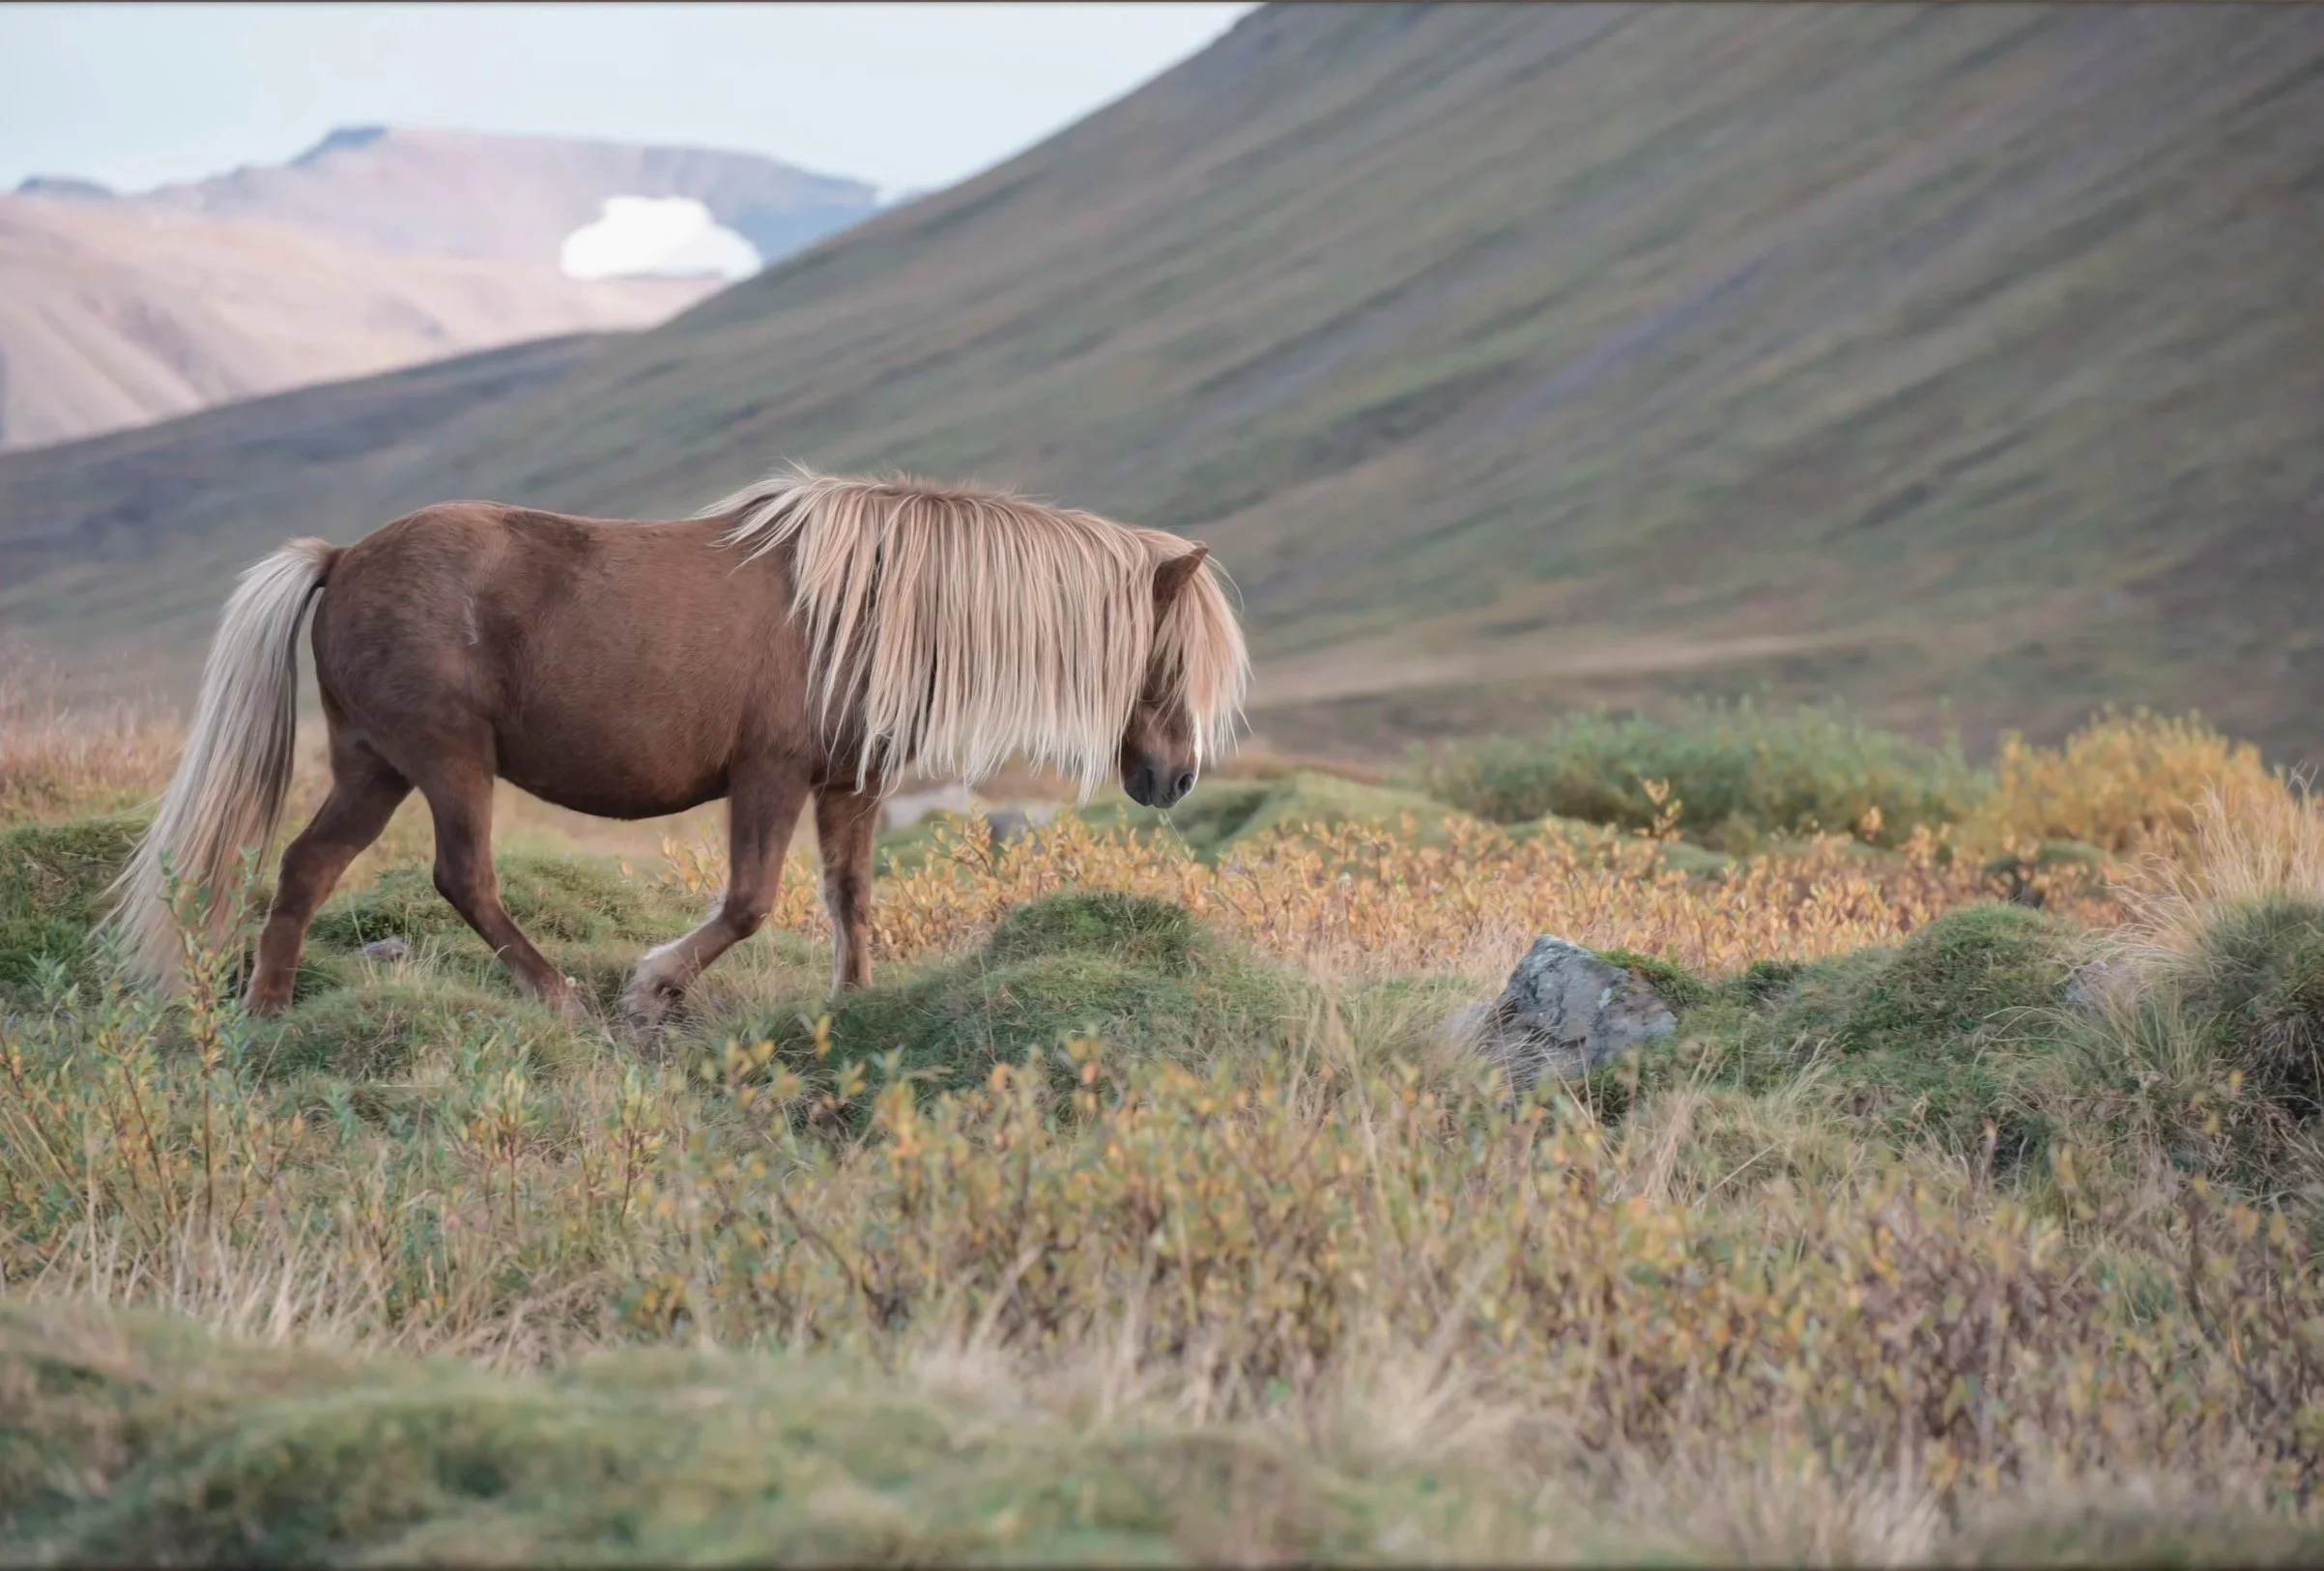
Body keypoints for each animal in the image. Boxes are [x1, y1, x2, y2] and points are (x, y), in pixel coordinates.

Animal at [99, 466, 1250, 1032]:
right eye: (1169, 654)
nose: (1174, 777)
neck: (867, 606)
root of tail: (342, 558)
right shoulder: (768, 778)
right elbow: (748, 903)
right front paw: (653, 988)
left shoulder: (848, 786)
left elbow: (851, 898)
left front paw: (854, 1002)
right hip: (446, 761)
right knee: (463, 877)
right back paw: (559, 997)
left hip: (374, 767)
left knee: (305, 868)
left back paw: (267, 1010)